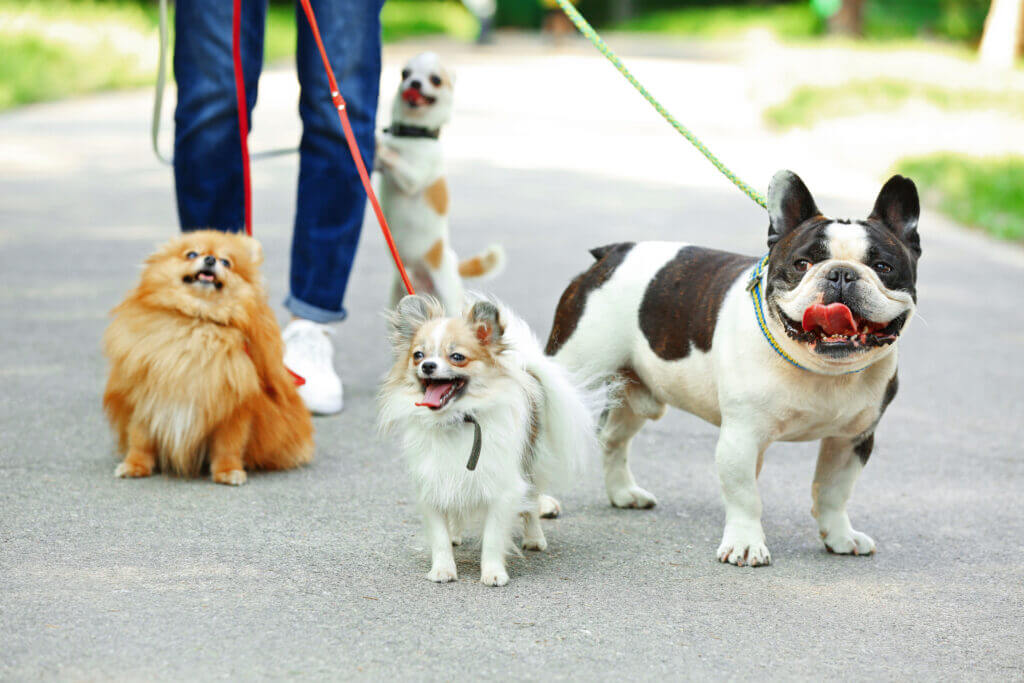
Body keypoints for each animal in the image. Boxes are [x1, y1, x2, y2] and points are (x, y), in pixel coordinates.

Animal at [104, 231, 313, 485]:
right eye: (192, 254)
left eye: (226, 262)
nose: (211, 259)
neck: (198, 320)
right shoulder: (145, 399)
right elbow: (140, 439)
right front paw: (134, 465)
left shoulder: (233, 409)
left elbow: (228, 445)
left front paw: (228, 471)